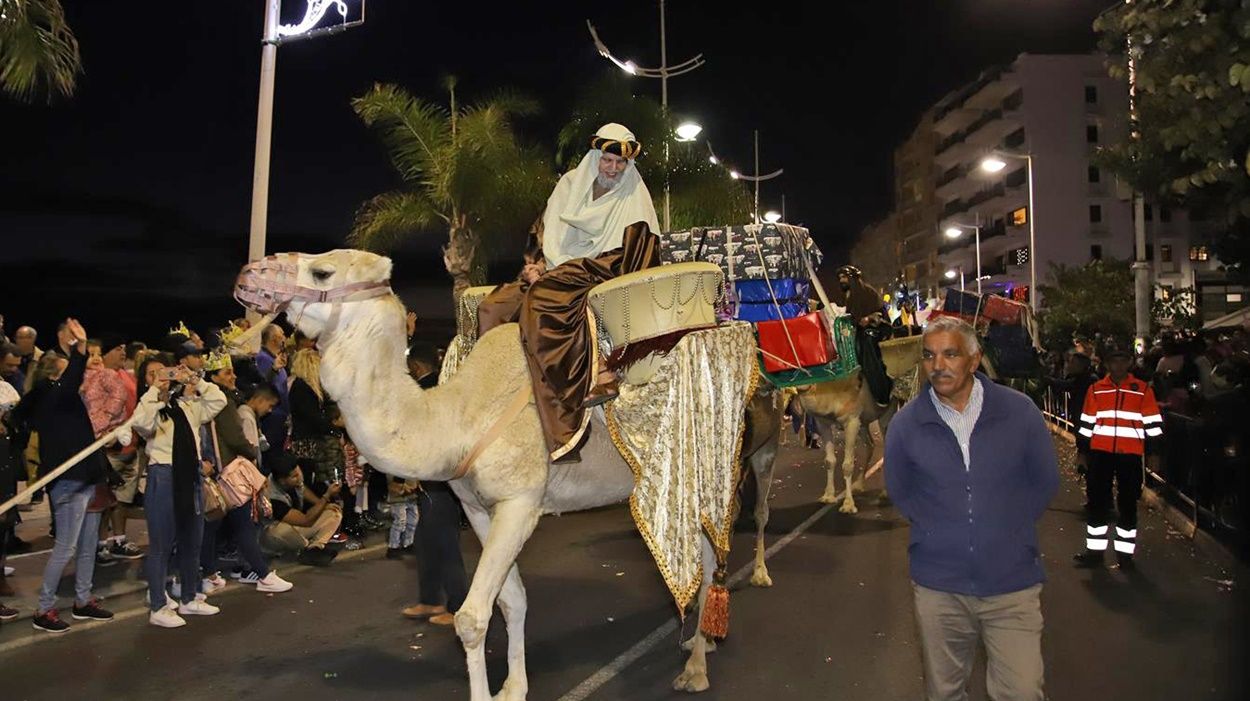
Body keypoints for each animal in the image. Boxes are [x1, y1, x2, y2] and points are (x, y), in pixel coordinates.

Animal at [235, 248, 780, 694]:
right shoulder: (479, 508)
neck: (456, 417)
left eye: (322, 270)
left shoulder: (521, 503)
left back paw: (699, 664)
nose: (248, 273)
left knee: (718, 549)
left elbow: (472, 617)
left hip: (717, 458)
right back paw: (700, 642)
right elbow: (511, 601)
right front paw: (513, 687)